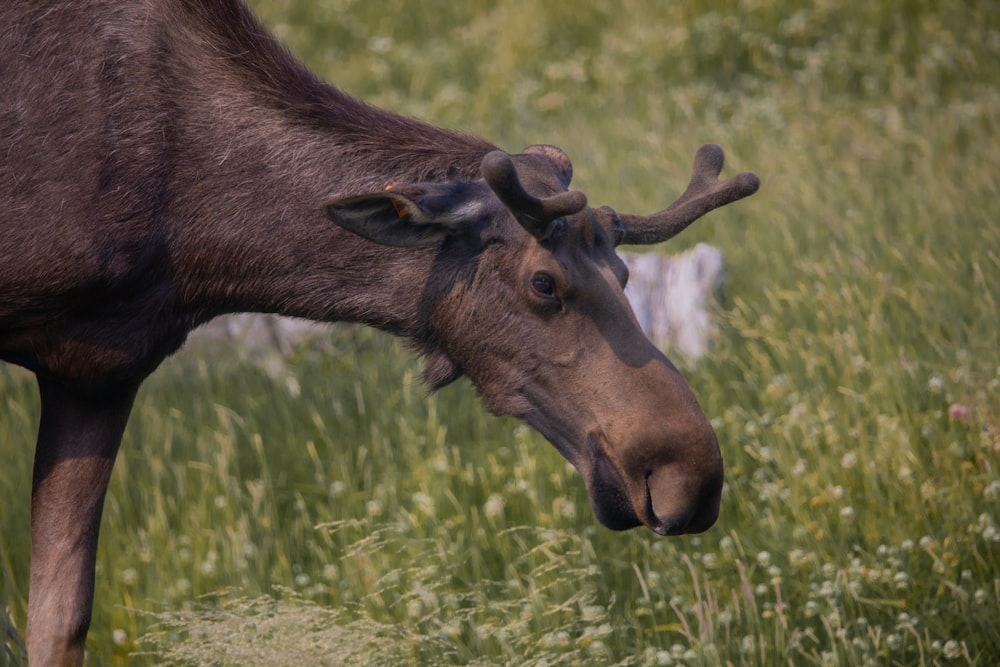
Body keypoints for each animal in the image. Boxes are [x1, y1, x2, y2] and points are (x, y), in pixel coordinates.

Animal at [0, 0, 756, 664]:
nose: (693, 472)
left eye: (625, 273)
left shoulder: (100, 371)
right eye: (543, 282)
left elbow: (59, 624)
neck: (192, 244)